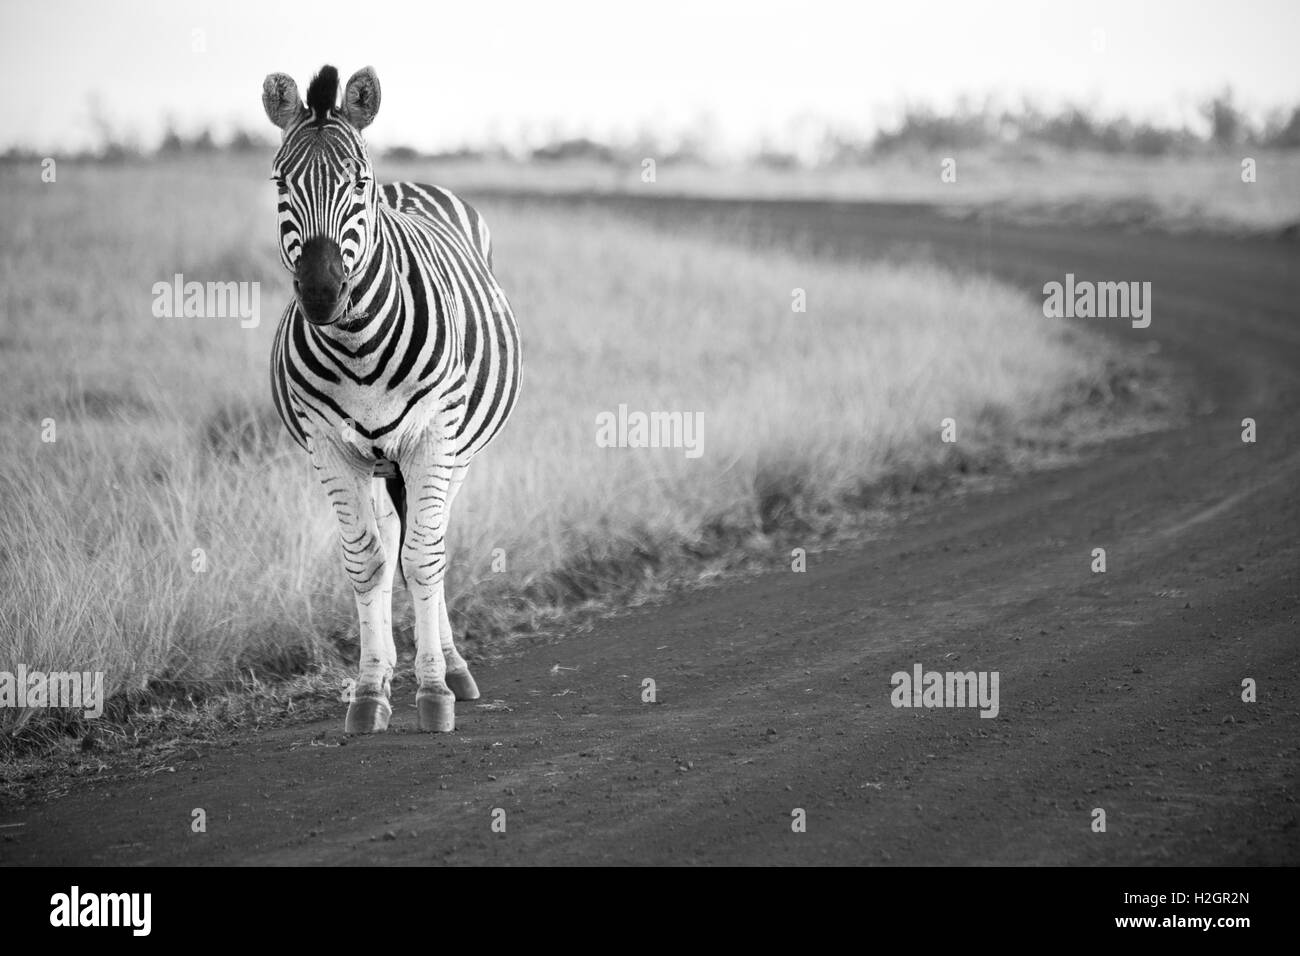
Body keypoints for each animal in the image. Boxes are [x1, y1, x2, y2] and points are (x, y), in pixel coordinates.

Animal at [258, 67, 522, 738]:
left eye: (357, 182)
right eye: (280, 181)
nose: (321, 293)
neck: (357, 345)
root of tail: (407, 184)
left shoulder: (433, 439)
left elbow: (424, 559)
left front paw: (433, 692)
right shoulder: (330, 449)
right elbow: (368, 564)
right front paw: (370, 690)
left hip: (455, 454)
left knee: (431, 544)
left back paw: (453, 667)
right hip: (380, 464)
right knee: (390, 546)